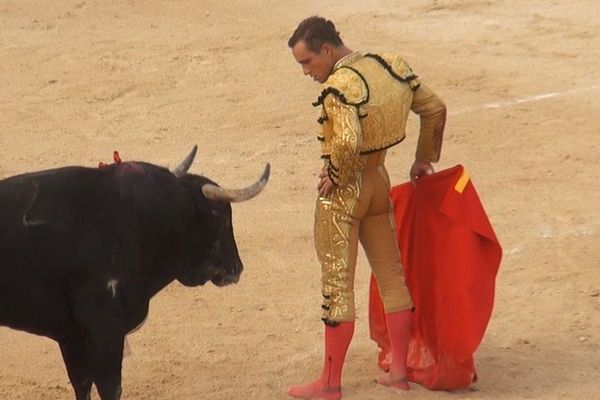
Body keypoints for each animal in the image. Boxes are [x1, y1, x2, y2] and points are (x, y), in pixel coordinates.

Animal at [0, 148, 270, 400]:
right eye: (223, 218)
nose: (237, 267)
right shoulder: (103, 325)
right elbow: (110, 387)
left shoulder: (70, 334)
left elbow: (82, 383)